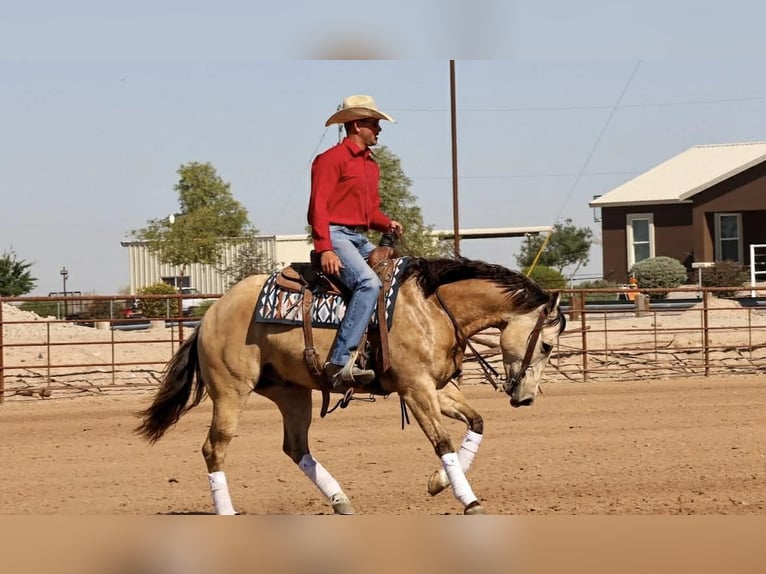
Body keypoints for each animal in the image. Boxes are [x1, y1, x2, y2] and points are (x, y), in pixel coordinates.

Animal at [135, 257, 566, 515]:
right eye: (546, 345)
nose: (526, 398)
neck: (432, 307)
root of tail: (211, 314)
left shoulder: (437, 387)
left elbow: (476, 423)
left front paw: (438, 483)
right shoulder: (416, 388)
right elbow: (442, 441)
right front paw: (469, 499)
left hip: (291, 392)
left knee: (296, 447)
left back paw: (340, 499)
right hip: (230, 392)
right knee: (215, 448)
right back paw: (227, 511)